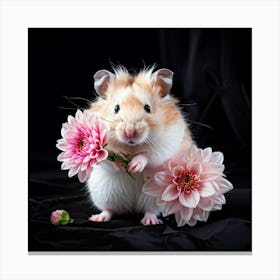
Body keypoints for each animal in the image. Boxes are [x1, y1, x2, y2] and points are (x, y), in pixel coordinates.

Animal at [87, 65, 192, 225]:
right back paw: (98, 218)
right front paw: (121, 163)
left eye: (147, 108)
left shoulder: (168, 142)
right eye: (116, 108)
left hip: (156, 196)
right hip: (103, 194)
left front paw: (133, 166)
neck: (132, 146)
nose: (130, 132)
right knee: (109, 209)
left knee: (151, 210)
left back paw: (150, 221)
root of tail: (132, 207)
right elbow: (108, 159)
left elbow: (148, 155)